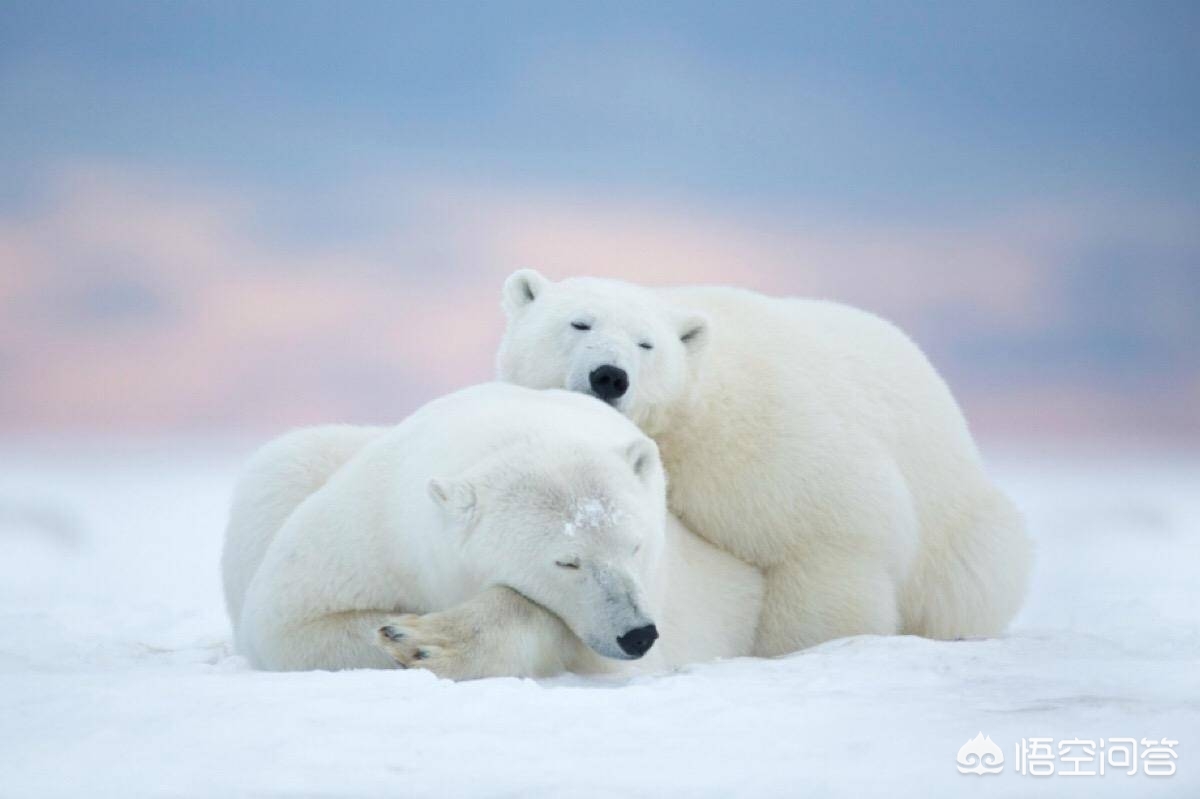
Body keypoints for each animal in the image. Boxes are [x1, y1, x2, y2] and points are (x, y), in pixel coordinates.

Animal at [223, 383, 758, 676]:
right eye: (567, 561)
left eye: (636, 546)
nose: (637, 634)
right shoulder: (376, 529)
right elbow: (291, 623)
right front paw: (404, 633)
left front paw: (426, 639)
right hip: (287, 470)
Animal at [496, 271, 1032, 657]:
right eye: (579, 323)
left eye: (646, 344)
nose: (610, 375)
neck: (689, 417)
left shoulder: (766, 443)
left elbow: (827, 538)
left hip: (959, 528)